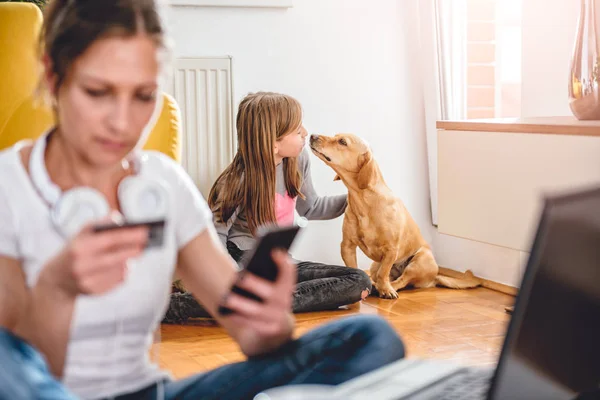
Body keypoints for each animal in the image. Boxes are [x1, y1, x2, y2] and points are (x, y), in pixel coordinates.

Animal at [312, 133, 480, 298]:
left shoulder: (391, 250)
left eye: (342, 142)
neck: (364, 202)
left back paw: (388, 287)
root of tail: (434, 278)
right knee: (382, 275)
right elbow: (359, 269)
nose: (312, 136)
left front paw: (386, 290)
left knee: (402, 280)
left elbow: (384, 273)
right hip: (375, 265)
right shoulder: (347, 245)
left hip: (419, 261)